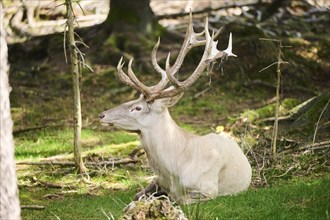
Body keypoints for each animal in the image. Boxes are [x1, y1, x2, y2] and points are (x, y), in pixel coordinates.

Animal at [99, 12, 251, 204]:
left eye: (137, 108)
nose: (102, 115)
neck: (174, 172)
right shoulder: (158, 180)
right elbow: (138, 195)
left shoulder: (209, 189)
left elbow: (180, 200)